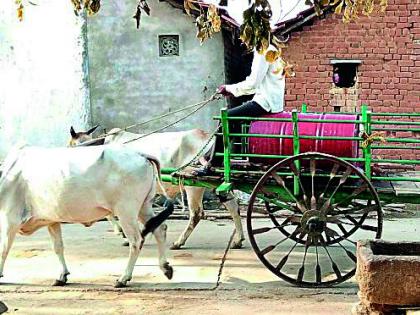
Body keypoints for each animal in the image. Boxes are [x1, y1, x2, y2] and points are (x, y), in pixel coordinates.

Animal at [0, 146, 172, 288]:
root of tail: (140, 154)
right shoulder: (52, 221)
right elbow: (58, 247)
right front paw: (62, 276)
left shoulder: (10, 220)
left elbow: (3, 249)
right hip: (144, 207)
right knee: (160, 229)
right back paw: (165, 268)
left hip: (126, 211)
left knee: (136, 241)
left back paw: (123, 278)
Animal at [69, 127, 246, 251]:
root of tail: (207, 136)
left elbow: (110, 214)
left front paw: (123, 234)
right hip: (215, 181)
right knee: (233, 205)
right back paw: (238, 240)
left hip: (192, 185)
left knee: (196, 214)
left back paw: (179, 242)